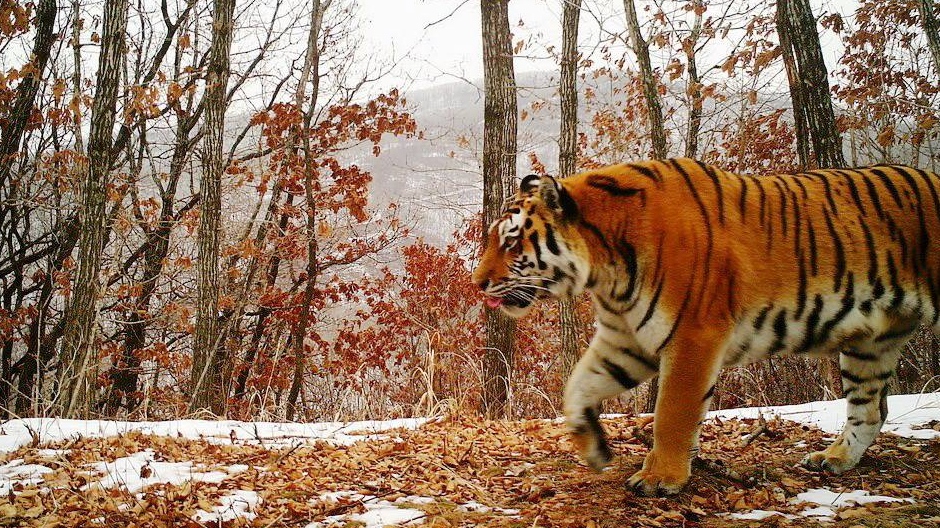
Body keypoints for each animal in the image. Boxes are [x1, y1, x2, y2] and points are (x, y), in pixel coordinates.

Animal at [474, 159, 940, 498]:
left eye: (511, 242)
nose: (478, 284)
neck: (606, 268)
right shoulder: (624, 340)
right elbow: (577, 386)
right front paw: (593, 447)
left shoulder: (692, 335)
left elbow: (672, 413)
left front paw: (660, 478)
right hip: (870, 344)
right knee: (870, 410)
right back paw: (834, 459)